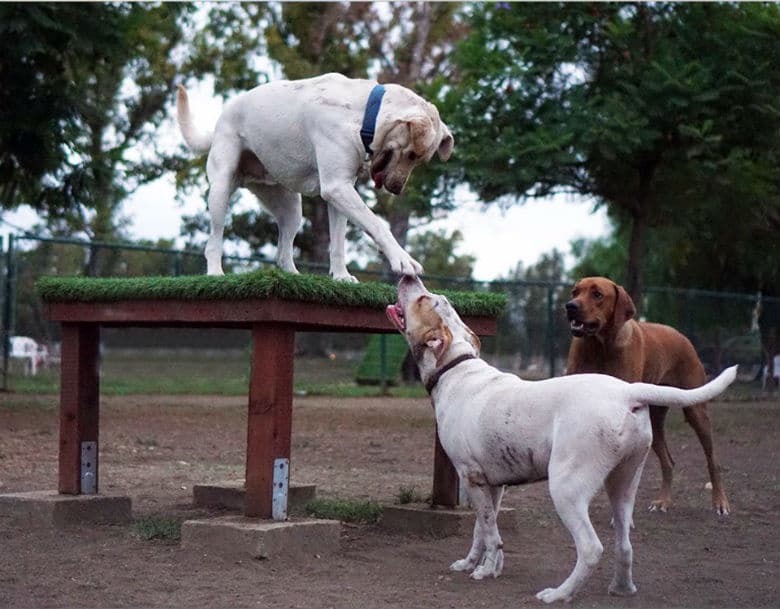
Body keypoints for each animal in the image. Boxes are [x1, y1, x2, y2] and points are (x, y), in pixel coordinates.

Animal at [564, 276, 728, 512]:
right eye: (574, 292)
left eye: (597, 294)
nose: (570, 306)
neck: (599, 346)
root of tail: (681, 335)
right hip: (656, 420)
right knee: (668, 462)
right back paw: (663, 501)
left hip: (697, 411)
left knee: (712, 461)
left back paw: (720, 502)